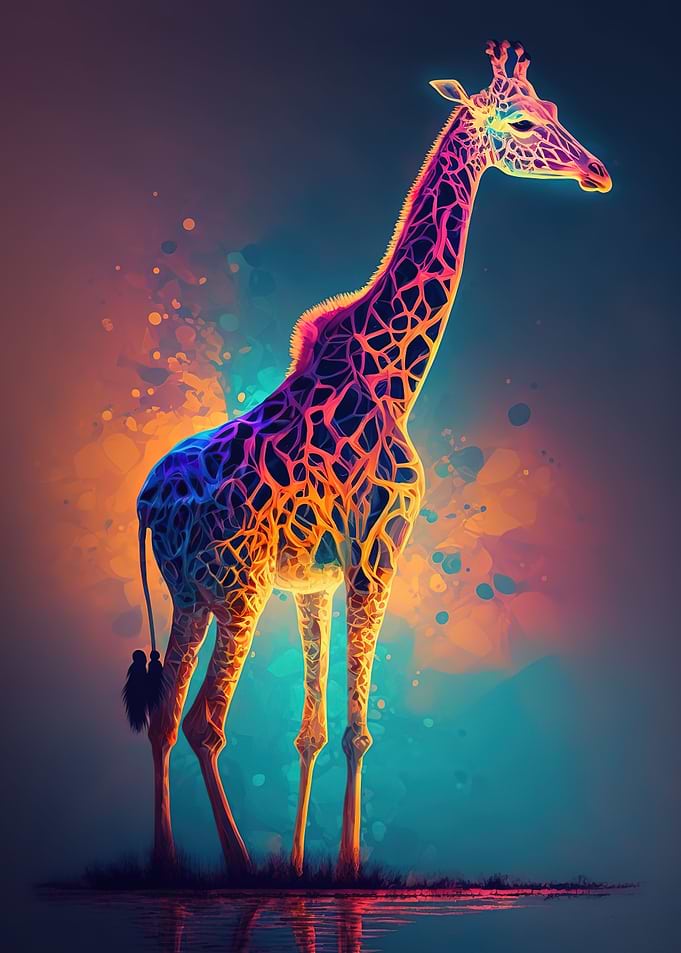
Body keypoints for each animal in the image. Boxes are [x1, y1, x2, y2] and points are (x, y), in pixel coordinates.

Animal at [123, 40, 611, 875]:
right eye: (519, 121)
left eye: (550, 109)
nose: (597, 172)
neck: (394, 376)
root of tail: (146, 502)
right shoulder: (377, 551)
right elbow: (354, 730)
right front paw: (347, 868)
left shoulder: (313, 581)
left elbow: (312, 731)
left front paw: (303, 867)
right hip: (239, 589)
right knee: (203, 721)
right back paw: (237, 868)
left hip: (191, 595)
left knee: (161, 712)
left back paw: (167, 864)